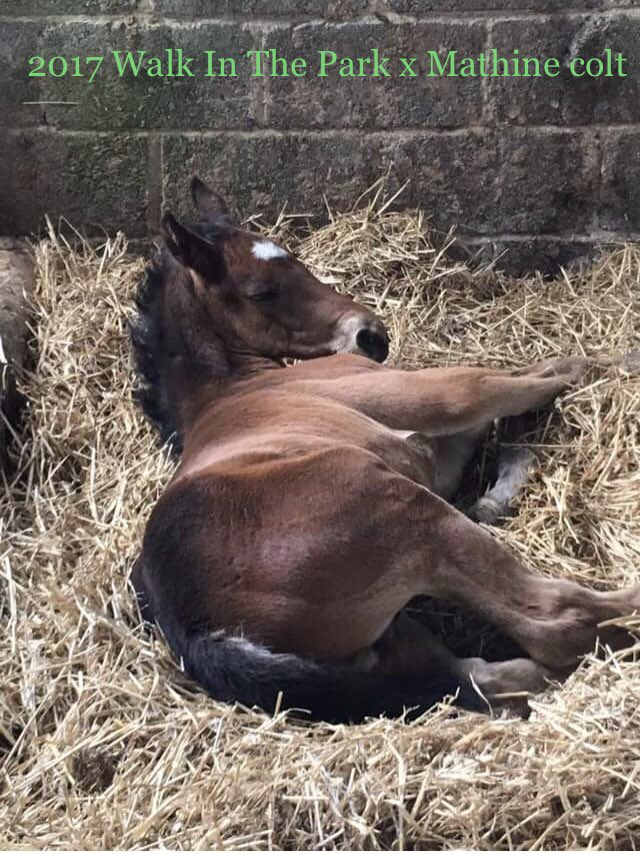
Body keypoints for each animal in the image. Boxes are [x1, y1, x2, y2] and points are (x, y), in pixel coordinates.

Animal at [130, 177, 640, 723]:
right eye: (260, 292)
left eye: (296, 258)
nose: (371, 336)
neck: (232, 388)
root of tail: (200, 628)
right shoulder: (431, 398)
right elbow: (539, 374)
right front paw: (619, 361)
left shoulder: (427, 452)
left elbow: (515, 394)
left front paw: (508, 469)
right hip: (405, 513)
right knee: (557, 624)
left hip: (389, 634)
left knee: (479, 677)